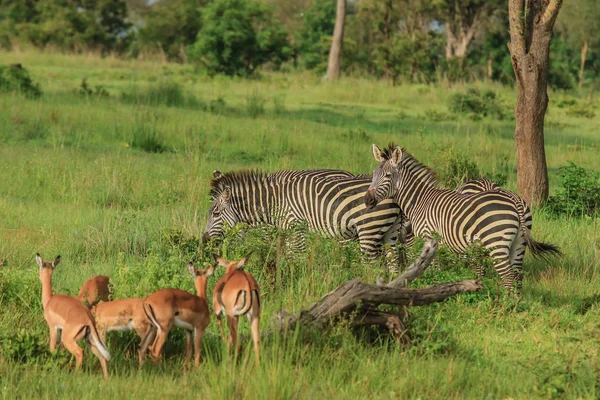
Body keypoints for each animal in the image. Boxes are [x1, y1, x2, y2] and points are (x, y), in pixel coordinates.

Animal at [203, 168, 408, 268]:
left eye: (215, 213)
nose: (204, 241)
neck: (274, 201)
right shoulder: (287, 231)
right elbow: (287, 255)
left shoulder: (296, 228)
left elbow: (297, 256)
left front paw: (296, 281)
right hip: (389, 232)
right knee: (392, 263)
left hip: (368, 230)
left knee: (371, 265)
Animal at [366, 145, 564, 294]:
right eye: (374, 174)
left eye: (387, 176)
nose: (367, 200)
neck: (421, 200)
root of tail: (515, 201)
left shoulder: (430, 237)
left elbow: (432, 268)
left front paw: (433, 287)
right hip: (519, 242)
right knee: (517, 275)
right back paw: (516, 306)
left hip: (497, 243)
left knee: (508, 276)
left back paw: (506, 308)